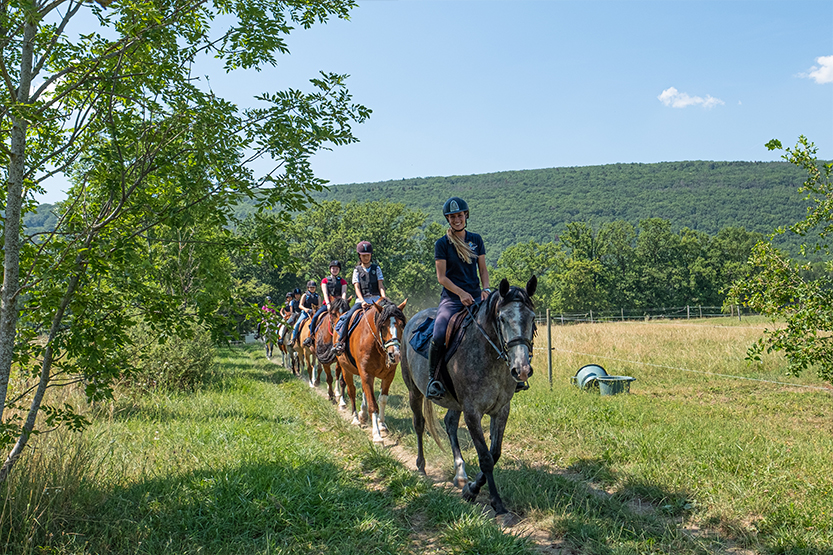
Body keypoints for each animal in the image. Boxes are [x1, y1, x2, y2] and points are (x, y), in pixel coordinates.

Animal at [334, 300, 406, 444]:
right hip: (346, 369)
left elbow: (382, 399)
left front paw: (382, 425)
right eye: (382, 326)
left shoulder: (388, 375)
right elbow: (373, 404)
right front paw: (377, 435)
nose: (394, 355)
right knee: (351, 391)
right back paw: (356, 418)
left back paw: (363, 414)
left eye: (401, 325)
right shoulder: (366, 374)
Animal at [400, 278, 536, 516]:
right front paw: (493, 501)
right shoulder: (473, 412)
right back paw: (421, 465)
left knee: (450, 424)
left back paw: (460, 473)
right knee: (419, 424)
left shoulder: (501, 410)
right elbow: (485, 458)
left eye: (533, 318)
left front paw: (471, 488)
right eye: (502, 318)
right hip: (414, 392)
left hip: (455, 402)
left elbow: (495, 453)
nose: (521, 370)